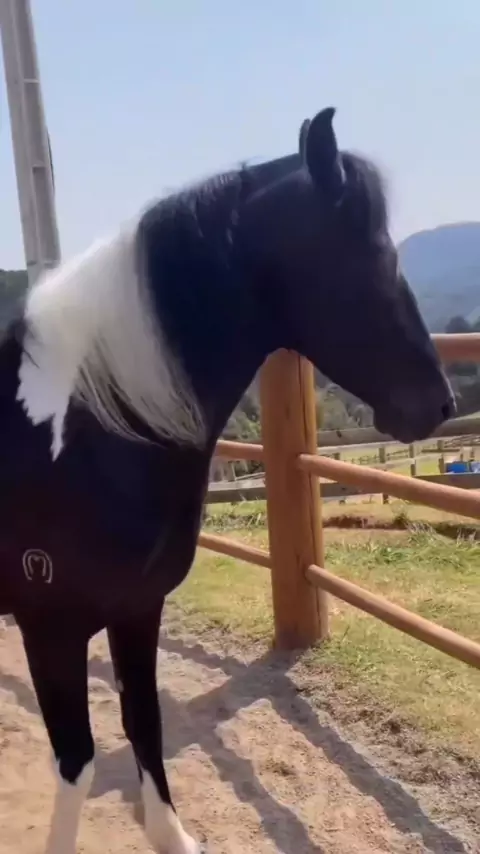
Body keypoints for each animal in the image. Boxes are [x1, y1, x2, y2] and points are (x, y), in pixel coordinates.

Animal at [0, 106, 454, 854]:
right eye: (373, 256)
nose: (440, 403)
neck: (78, 431)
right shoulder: (51, 626)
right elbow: (78, 761)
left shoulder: (136, 609)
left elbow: (144, 727)